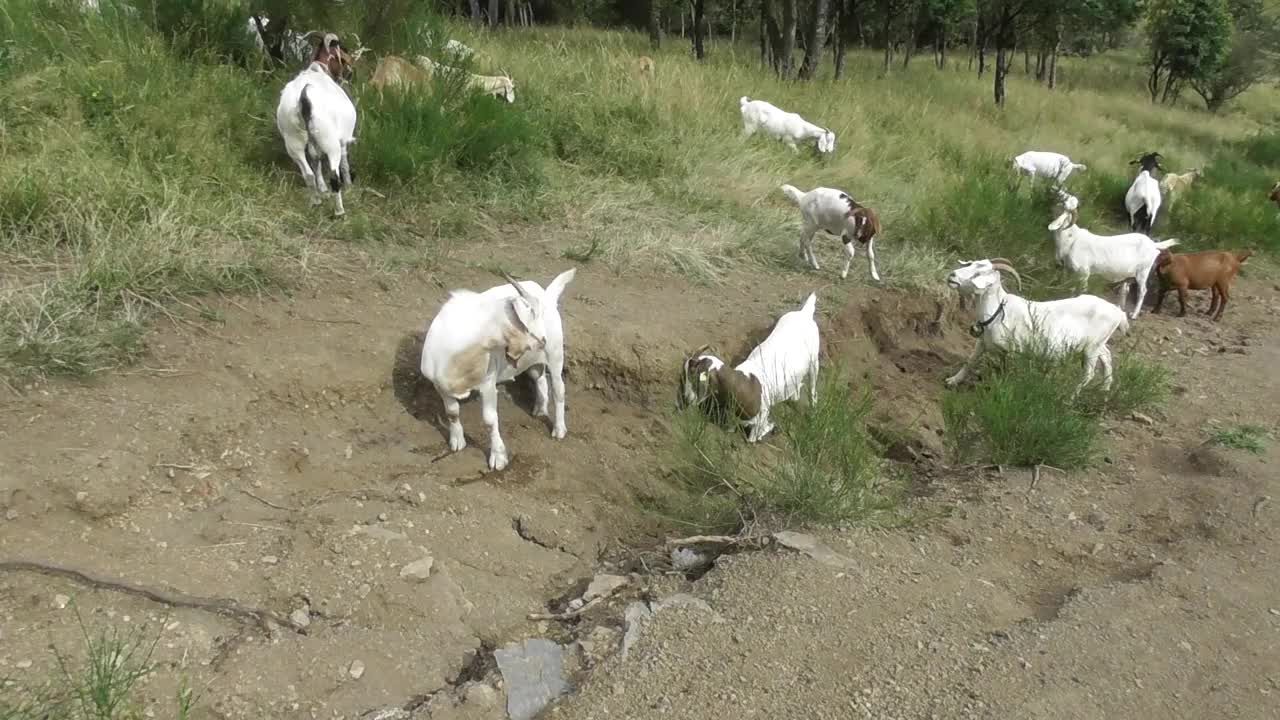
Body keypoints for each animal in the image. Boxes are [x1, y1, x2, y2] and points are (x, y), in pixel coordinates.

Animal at [419, 266, 576, 468]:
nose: (543, 339)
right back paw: (540, 409)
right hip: (534, 361)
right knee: (539, 378)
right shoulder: (439, 385)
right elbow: (452, 412)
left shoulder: (487, 383)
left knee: (559, 388)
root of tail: (547, 295)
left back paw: (559, 429)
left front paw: (498, 457)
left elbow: (489, 420)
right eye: (534, 313)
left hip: (556, 354)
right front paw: (457, 441)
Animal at [680, 289, 819, 438]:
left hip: (814, 361)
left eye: (695, 378)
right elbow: (731, 427)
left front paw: (771, 426)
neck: (746, 383)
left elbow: (753, 437)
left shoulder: (760, 419)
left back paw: (813, 407)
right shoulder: (733, 415)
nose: (686, 398)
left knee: (813, 385)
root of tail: (804, 314)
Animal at [942, 257, 1131, 392]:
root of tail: (1118, 312)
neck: (998, 311)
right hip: (1098, 344)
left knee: (1089, 374)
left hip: (1092, 347)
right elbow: (970, 361)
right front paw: (952, 381)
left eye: (978, 274)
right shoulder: (982, 342)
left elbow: (1008, 373)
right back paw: (1105, 389)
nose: (952, 276)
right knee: (1107, 356)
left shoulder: (1015, 351)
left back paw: (1070, 397)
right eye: (970, 264)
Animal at [1049, 208, 1177, 317]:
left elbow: (1081, 290)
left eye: (1063, 214)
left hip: (1143, 272)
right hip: (1128, 275)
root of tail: (1153, 244)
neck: (1072, 240)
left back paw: (1134, 315)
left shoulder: (1084, 272)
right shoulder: (1070, 271)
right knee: (1125, 290)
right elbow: (1070, 288)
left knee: (1142, 291)